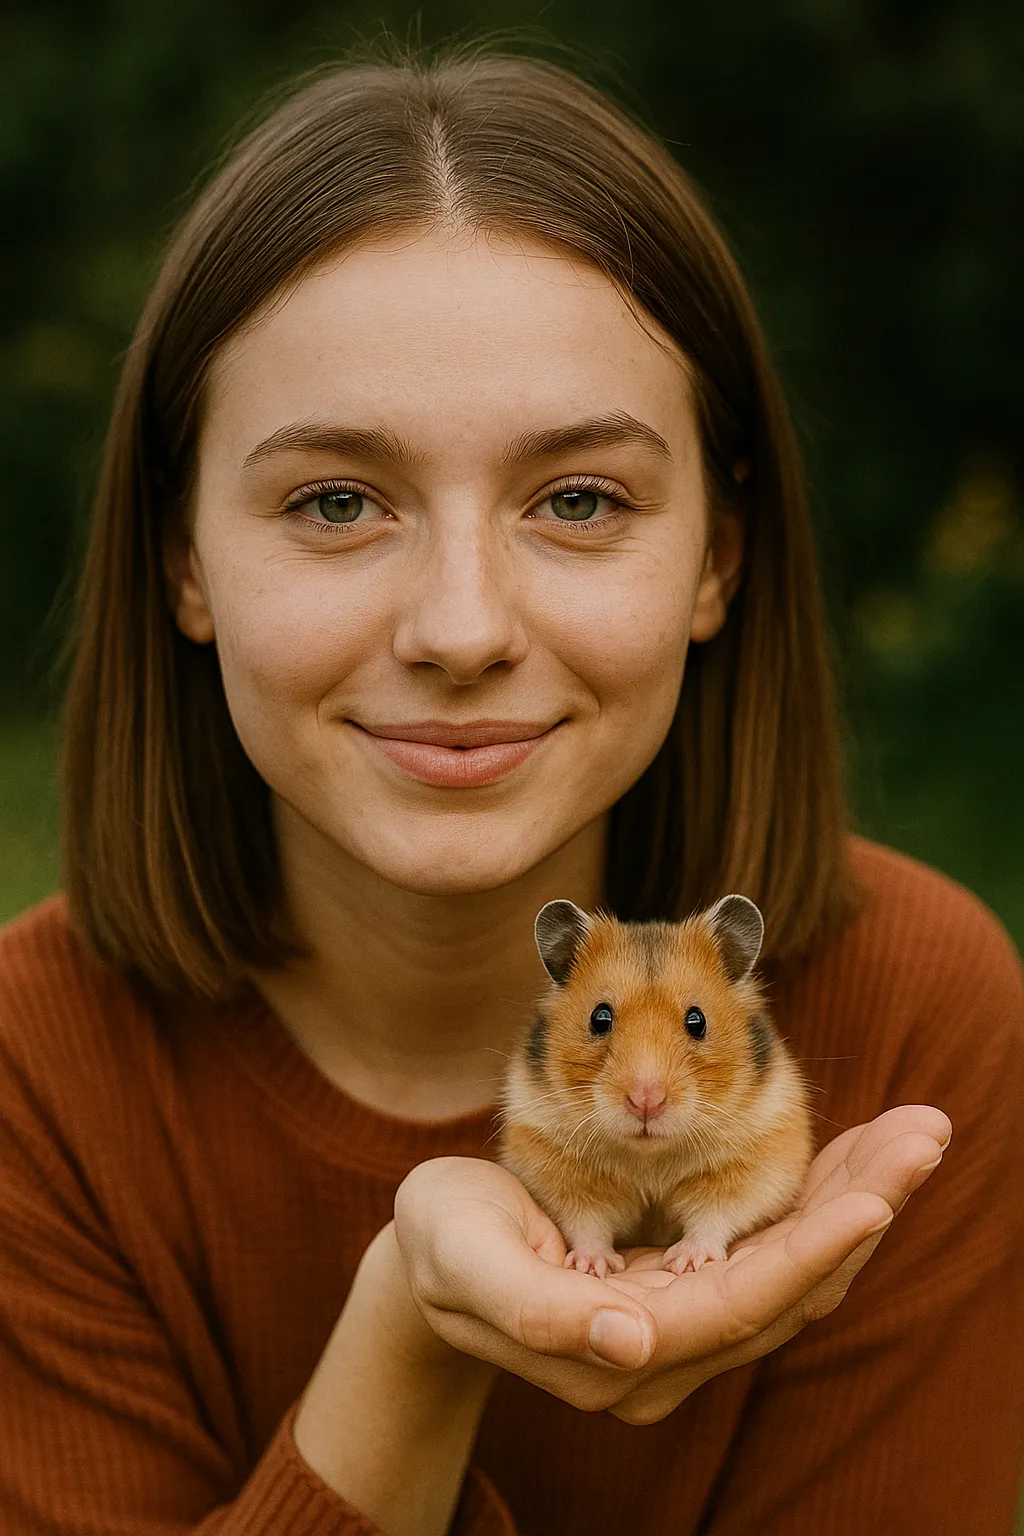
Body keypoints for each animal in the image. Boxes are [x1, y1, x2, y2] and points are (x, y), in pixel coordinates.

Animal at [497, 895, 813, 1277]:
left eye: (697, 1020)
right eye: (599, 1017)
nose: (645, 1101)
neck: (649, 1158)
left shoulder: (757, 1161)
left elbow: (714, 1217)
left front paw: (687, 1261)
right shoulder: (553, 1163)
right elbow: (586, 1223)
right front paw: (593, 1266)